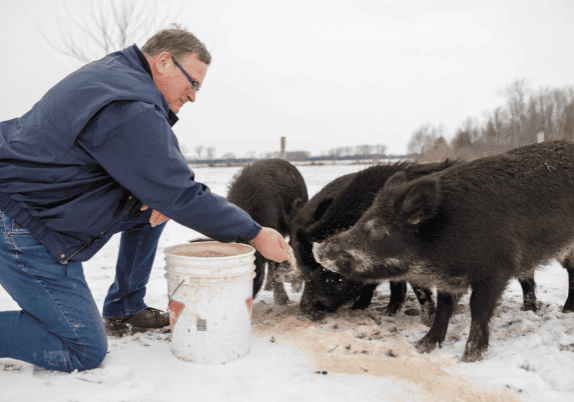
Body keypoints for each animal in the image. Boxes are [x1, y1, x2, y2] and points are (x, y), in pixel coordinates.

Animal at [318, 141, 574, 362]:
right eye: (362, 219)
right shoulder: (449, 280)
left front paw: (470, 357)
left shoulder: (496, 271)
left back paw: (566, 311)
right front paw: (422, 346)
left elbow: (478, 308)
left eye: (377, 228)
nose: (319, 249)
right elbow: (443, 308)